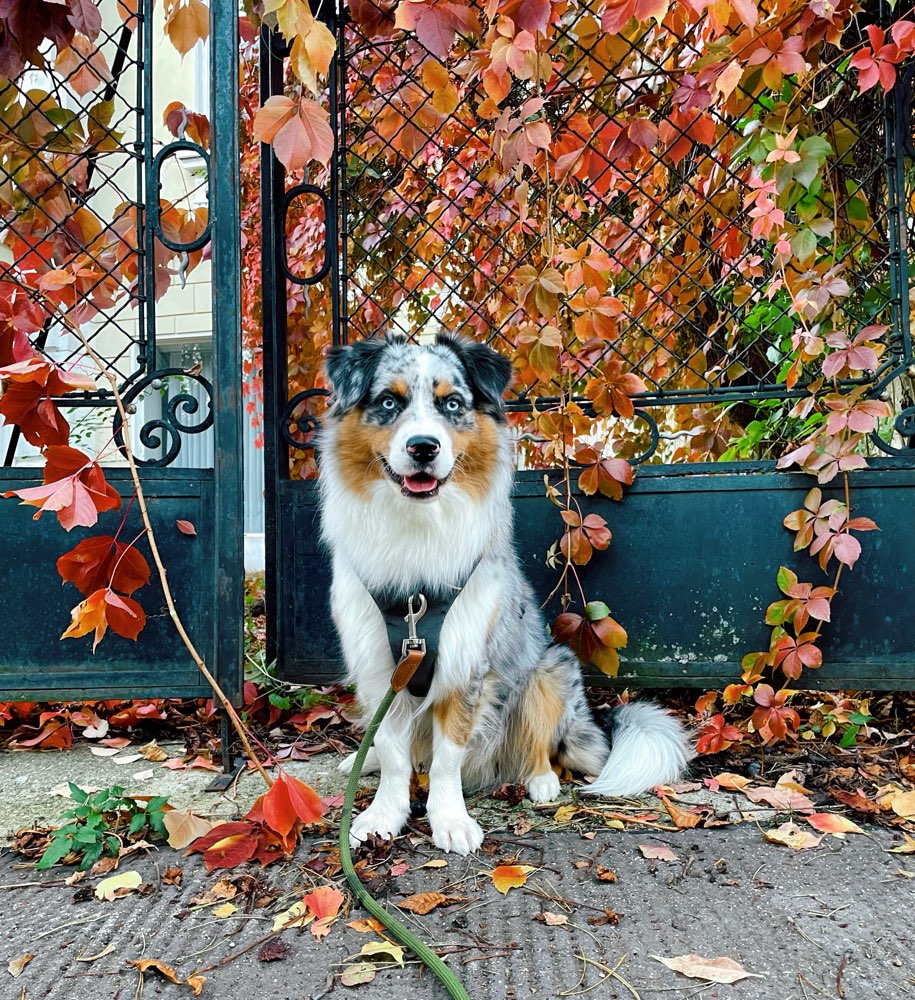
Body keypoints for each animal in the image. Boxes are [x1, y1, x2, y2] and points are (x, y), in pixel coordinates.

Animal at [318, 332, 692, 856]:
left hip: (550, 670)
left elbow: (448, 757)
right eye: (389, 402)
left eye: (452, 403)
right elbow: (393, 751)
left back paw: (541, 782)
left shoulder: (467, 662)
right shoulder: (377, 667)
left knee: (542, 748)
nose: (423, 447)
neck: (417, 529)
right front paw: (382, 815)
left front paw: (450, 820)